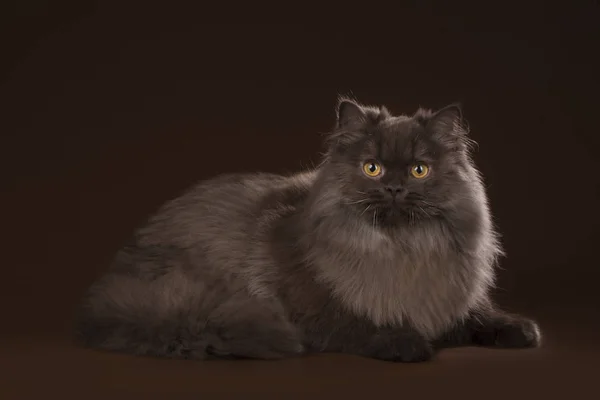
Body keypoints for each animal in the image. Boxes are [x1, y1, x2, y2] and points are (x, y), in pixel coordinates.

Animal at [72, 97, 540, 362]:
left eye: (419, 170)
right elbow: (357, 322)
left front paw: (521, 330)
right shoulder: (311, 308)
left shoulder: (449, 296)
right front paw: (406, 343)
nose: (394, 187)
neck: (404, 250)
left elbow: (479, 313)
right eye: (371, 167)